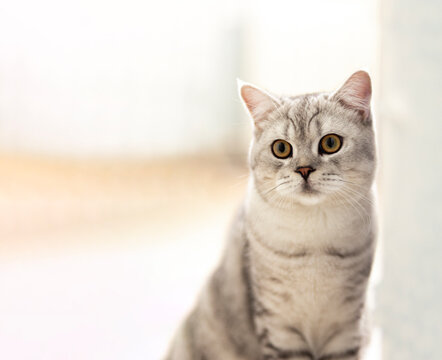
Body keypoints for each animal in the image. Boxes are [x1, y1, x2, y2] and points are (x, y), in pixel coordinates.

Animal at [163, 70, 376, 360]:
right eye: (281, 149)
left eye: (331, 143)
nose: (304, 170)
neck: (315, 238)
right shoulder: (279, 328)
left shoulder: (347, 326)